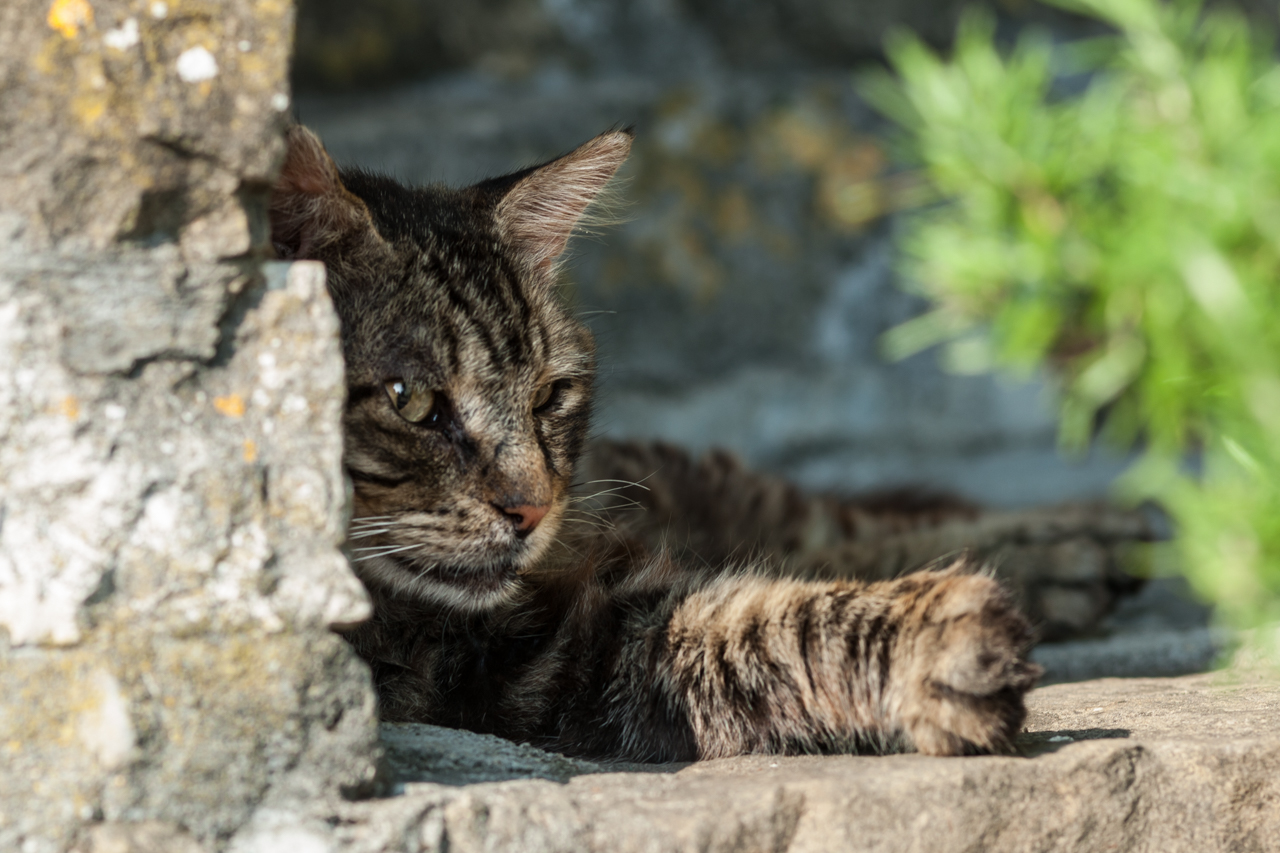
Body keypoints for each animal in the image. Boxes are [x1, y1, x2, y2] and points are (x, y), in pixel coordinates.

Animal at [267, 124, 1039, 758]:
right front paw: (930, 636)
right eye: (412, 401)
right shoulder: (541, 670)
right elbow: (748, 624)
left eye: (548, 396)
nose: (534, 510)